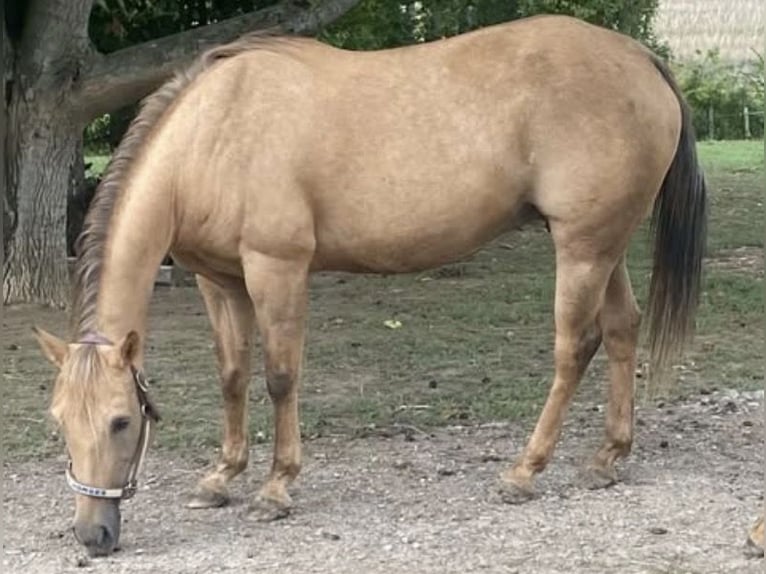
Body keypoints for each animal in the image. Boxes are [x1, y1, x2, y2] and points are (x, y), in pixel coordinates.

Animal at [34, 14, 708, 557]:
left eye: (122, 421)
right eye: (59, 421)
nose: (93, 535)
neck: (216, 132)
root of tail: (638, 57)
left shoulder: (276, 269)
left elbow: (280, 378)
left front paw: (276, 488)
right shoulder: (218, 281)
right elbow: (232, 378)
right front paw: (222, 478)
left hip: (582, 248)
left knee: (575, 348)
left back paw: (524, 472)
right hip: (603, 245)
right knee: (620, 332)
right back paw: (607, 458)